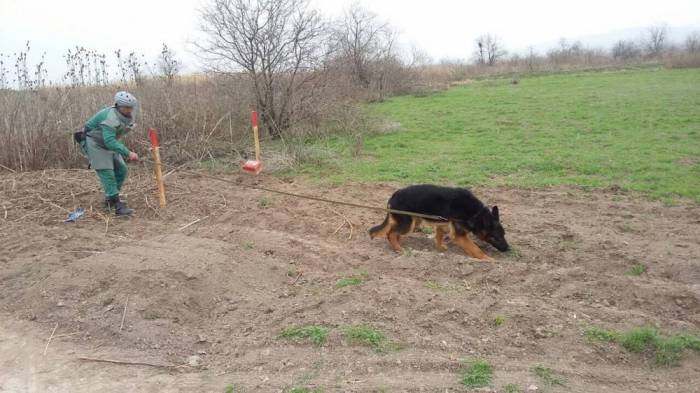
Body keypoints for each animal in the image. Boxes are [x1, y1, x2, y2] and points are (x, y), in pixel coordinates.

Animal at [370, 185, 506, 260]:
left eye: (504, 235)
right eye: (496, 237)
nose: (508, 249)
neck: (476, 213)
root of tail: (393, 196)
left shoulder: (442, 224)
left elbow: (439, 237)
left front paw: (440, 248)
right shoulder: (459, 235)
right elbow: (474, 248)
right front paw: (487, 258)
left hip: (412, 222)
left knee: (393, 231)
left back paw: (397, 245)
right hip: (408, 224)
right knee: (390, 233)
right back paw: (398, 249)